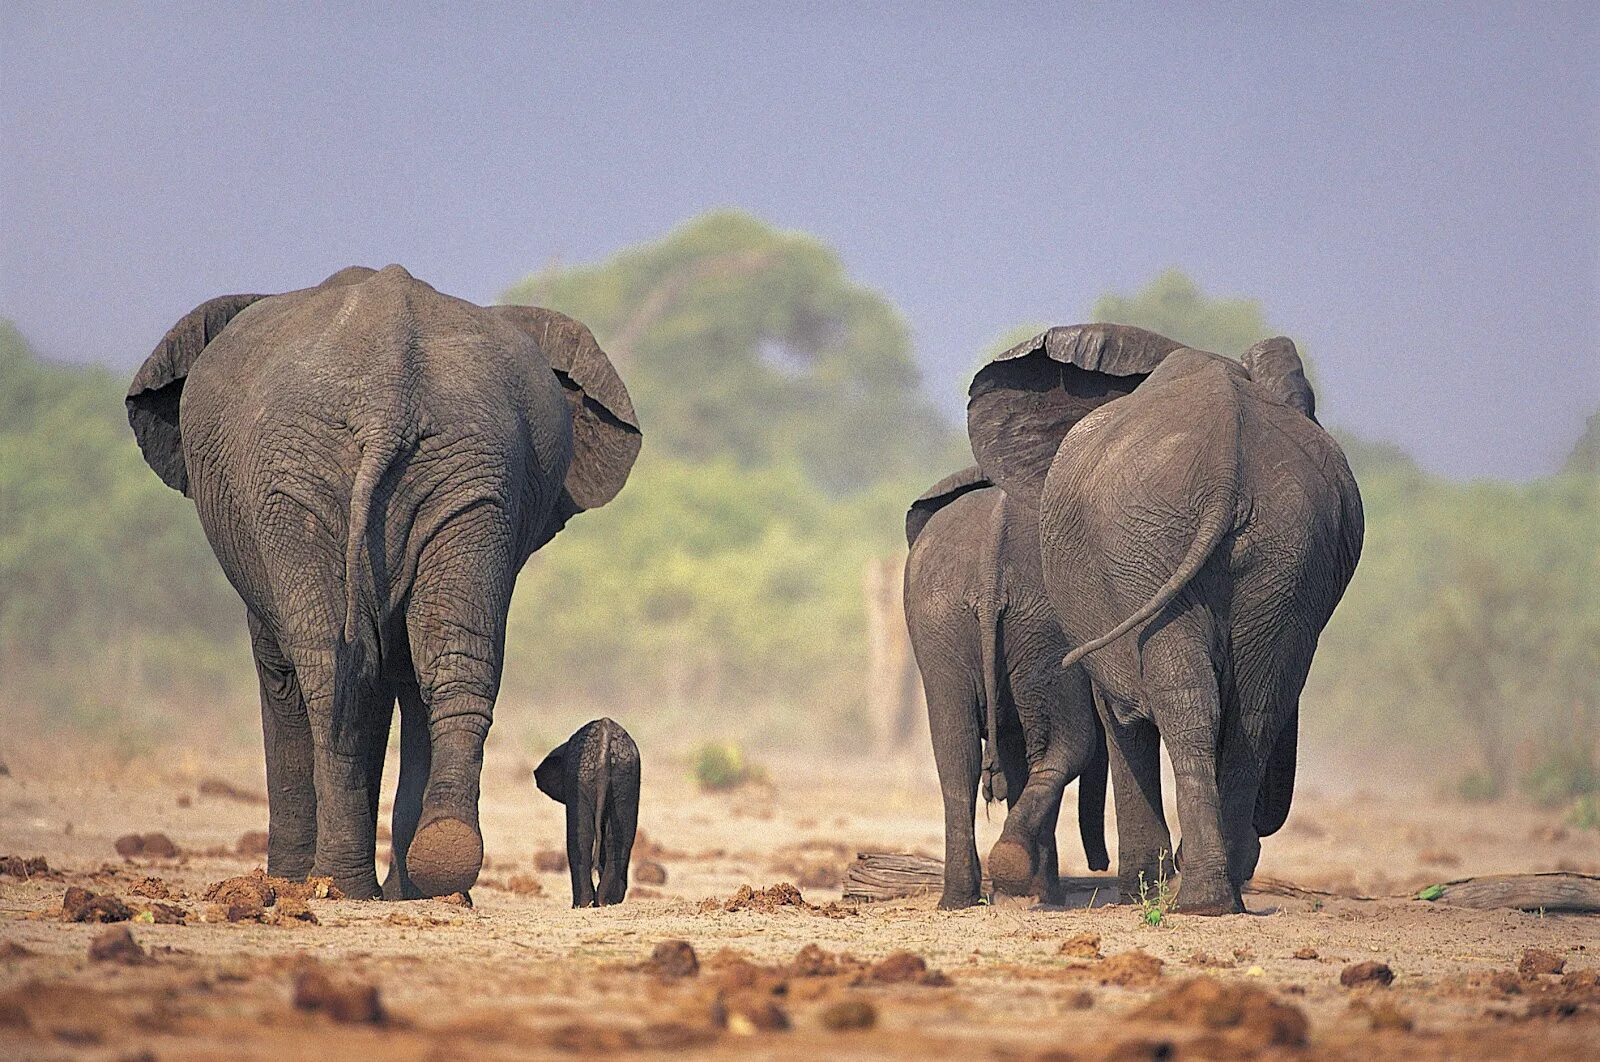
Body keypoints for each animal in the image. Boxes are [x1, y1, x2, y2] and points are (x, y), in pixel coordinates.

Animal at [908, 463, 1107, 902]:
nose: (1099, 865)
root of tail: (989, 570)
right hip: (1044, 628)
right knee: (1066, 745)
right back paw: (1034, 888)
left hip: (942, 621)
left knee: (956, 752)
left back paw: (958, 901)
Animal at [960, 323, 1363, 914]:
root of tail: (1227, 462)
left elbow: (1119, 715)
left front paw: (1136, 890)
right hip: (1276, 548)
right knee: (1253, 705)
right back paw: (1213, 894)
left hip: (1152, 544)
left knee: (1189, 699)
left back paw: (1193, 894)